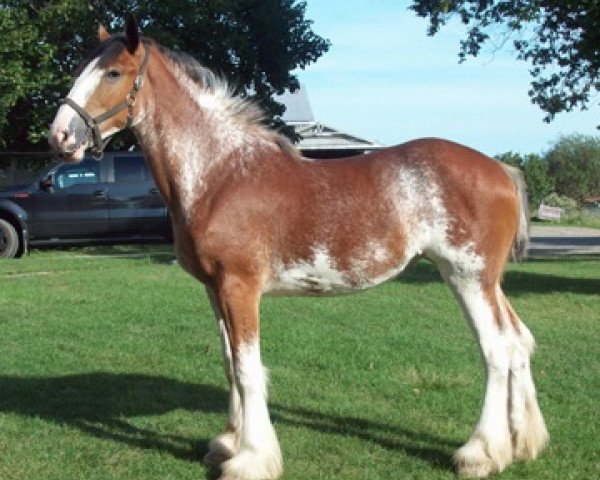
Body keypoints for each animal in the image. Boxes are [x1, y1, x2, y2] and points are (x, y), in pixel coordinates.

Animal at [50, 15, 548, 480]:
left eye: (113, 73)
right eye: (79, 68)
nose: (59, 136)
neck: (220, 173)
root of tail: (502, 170)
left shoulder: (240, 288)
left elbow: (248, 370)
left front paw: (251, 459)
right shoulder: (214, 289)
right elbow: (229, 363)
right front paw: (227, 444)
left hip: (467, 276)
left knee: (495, 350)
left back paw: (480, 453)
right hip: (489, 282)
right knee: (519, 341)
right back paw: (524, 443)